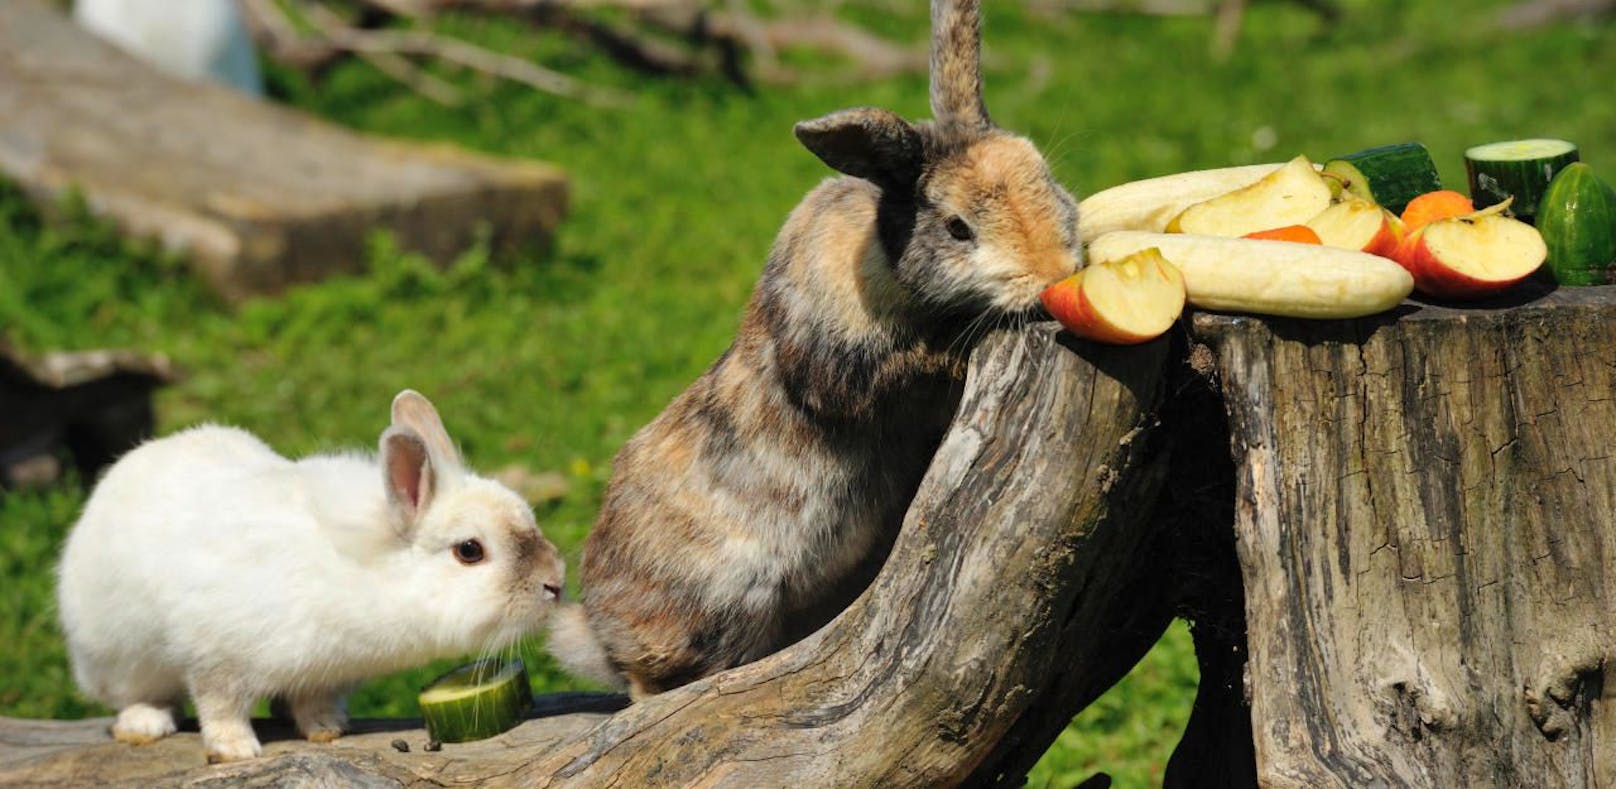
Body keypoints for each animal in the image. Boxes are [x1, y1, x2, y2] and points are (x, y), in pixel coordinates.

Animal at [56, 391, 565, 759]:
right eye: (469, 551)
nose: (556, 582)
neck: (367, 573)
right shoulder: (215, 658)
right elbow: (219, 705)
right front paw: (235, 750)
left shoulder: (324, 673)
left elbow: (313, 701)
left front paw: (326, 729)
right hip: (117, 655)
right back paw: (145, 723)